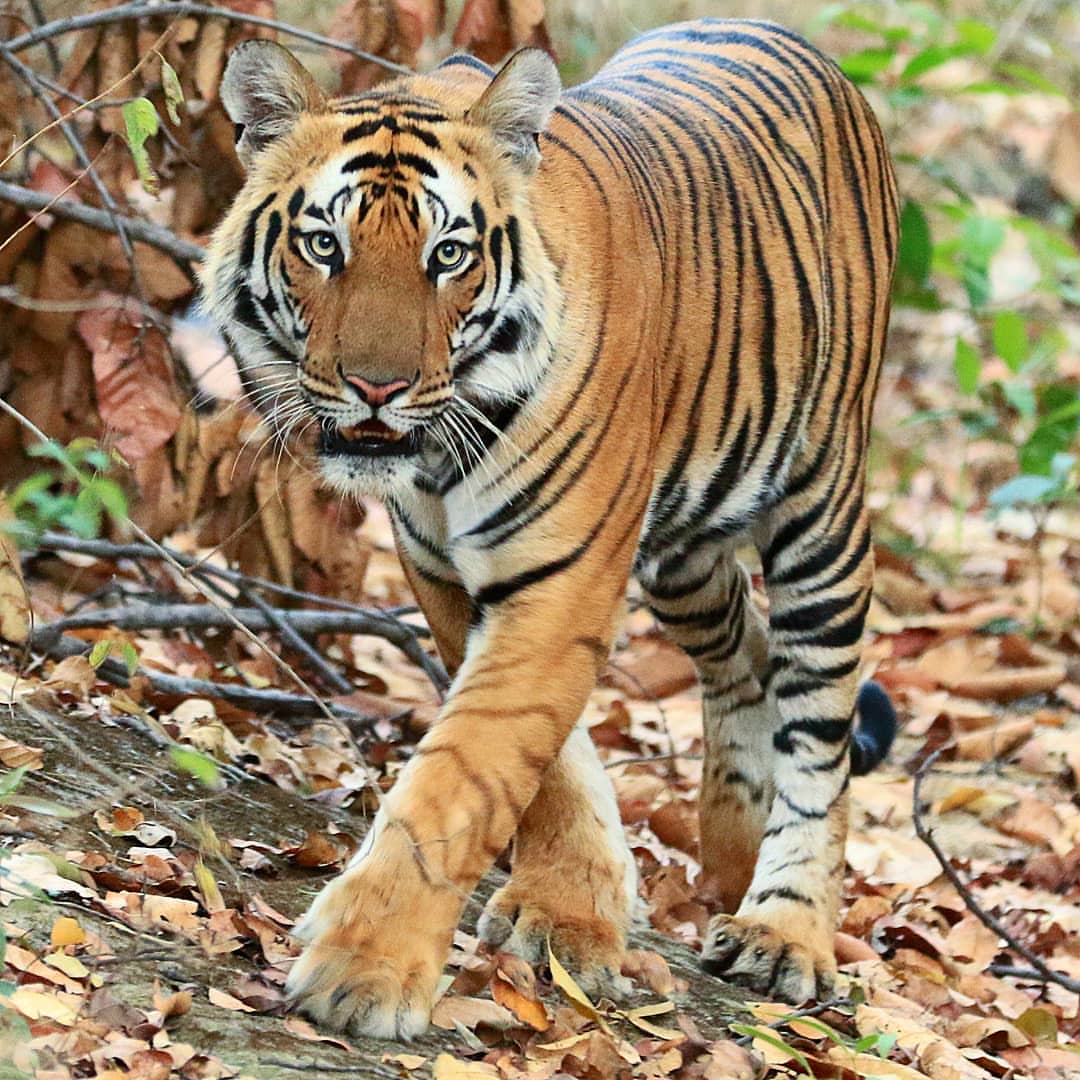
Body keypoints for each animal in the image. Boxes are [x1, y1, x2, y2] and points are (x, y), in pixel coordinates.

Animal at [198, 16, 898, 1041]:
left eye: (448, 255)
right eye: (324, 243)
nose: (377, 387)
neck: (443, 456)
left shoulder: (563, 579)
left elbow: (470, 769)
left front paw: (364, 973)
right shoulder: (449, 572)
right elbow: (546, 762)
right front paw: (573, 908)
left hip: (824, 511)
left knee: (821, 724)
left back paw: (783, 930)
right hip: (687, 556)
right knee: (743, 652)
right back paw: (732, 842)